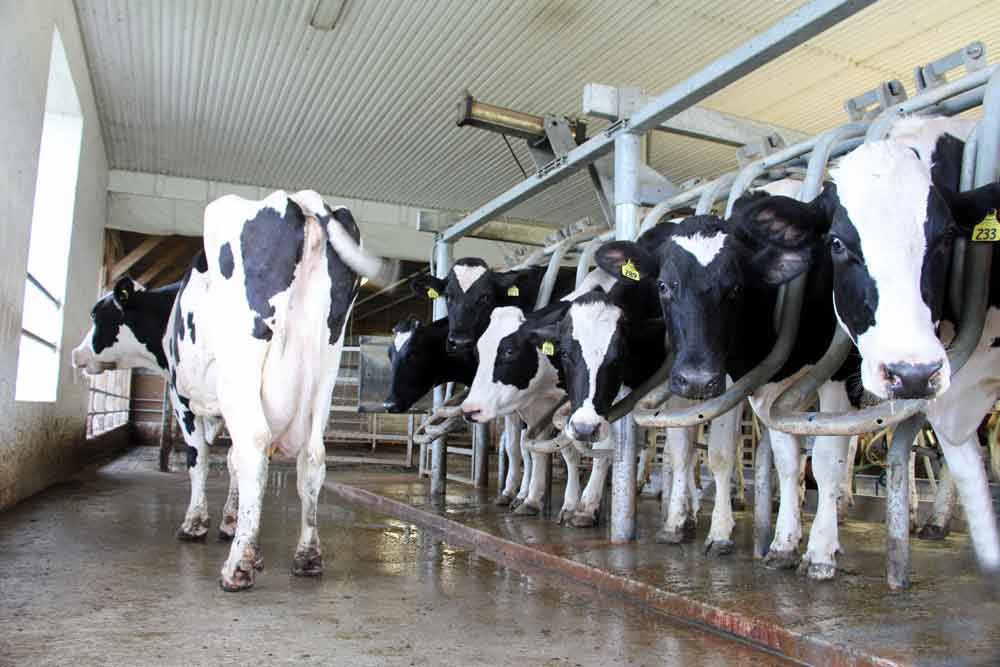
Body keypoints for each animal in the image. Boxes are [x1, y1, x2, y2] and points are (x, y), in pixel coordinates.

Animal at [74, 189, 396, 588]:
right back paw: (307, 556)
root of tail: (302, 201)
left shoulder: (182, 397)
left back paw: (239, 564)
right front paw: (231, 522)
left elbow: (199, 457)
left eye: (98, 314)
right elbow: (230, 459)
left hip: (242, 369)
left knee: (255, 444)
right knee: (311, 457)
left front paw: (196, 523)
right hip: (325, 372)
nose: (77, 354)